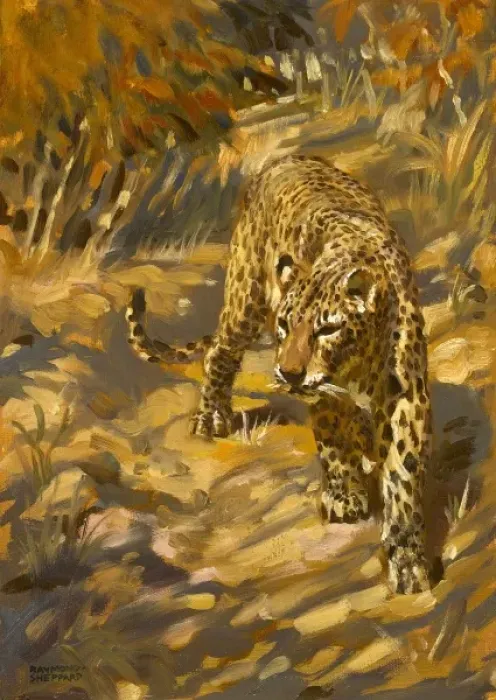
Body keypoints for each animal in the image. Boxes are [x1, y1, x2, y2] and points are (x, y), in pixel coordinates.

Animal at [126, 154, 433, 595]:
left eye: (327, 329)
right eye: (286, 325)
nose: (289, 372)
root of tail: (287, 159)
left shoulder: (405, 392)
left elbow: (403, 472)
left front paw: (407, 558)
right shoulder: (325, 395)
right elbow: (334, 442)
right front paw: (344, 497)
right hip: (246, 297)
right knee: (219, 352)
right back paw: (212, 417)